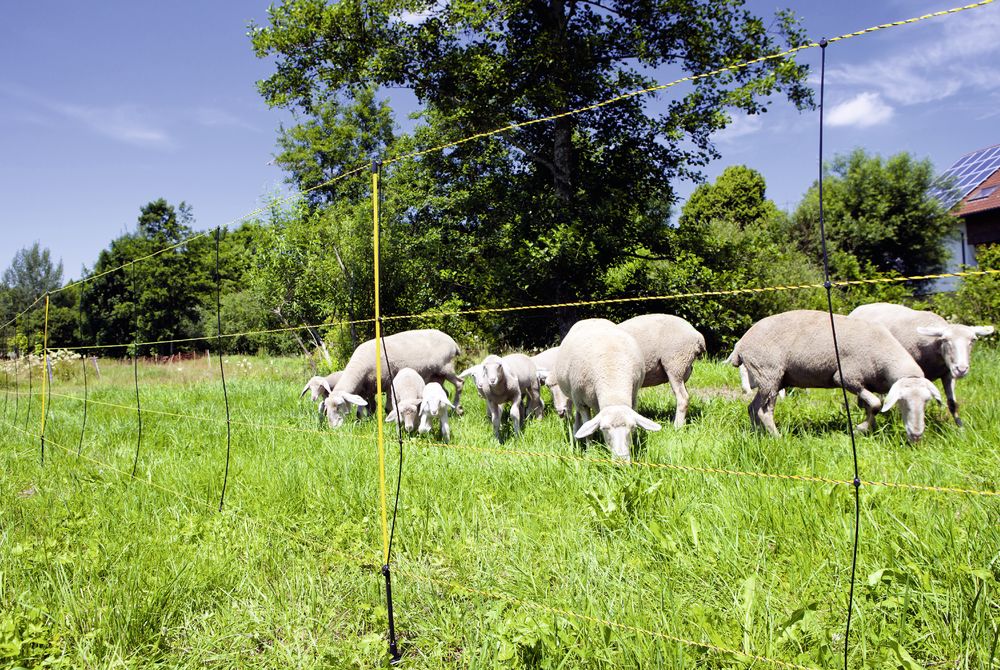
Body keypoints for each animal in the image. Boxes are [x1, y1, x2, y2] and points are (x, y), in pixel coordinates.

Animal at [322, 328, 462, 428]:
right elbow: (370, 408)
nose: (333, 427)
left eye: (339, 405)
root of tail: (453, 342)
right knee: (445, 391)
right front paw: (366, 421)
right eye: (326, 407)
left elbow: (388, 408)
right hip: (436, 375)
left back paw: (458, 410)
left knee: (459, 383)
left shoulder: (389, 383)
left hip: (446, 367)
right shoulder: (369, 389)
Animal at [552, 320, 660, 462]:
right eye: (604, 428)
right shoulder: (582, 403)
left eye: (632, 427)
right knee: (579, 415)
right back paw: (576, 433)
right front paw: (590, 452)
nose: (621, 461)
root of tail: (592, 319)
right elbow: (589, 432)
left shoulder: (634, 397)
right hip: (575, 396)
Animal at [732, 312, 940, 446]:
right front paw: (860, 428)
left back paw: (757, 434)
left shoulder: (864, 383)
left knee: (752, 408)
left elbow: (869, 407)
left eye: (927, 401)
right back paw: (777, 437)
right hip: (769, 373)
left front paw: (868, 429)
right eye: (902, 402)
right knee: (764, 411)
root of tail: (741, 344)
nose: (916, 436)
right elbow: (875, 404)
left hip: (771, 378)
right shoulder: (848, 377)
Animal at [852, 304, 992, 428]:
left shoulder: (948, 374)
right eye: (945, 340)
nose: (961, 369)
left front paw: (960, 429)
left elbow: (952, 404)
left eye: (973, 340)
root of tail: (860, 307)